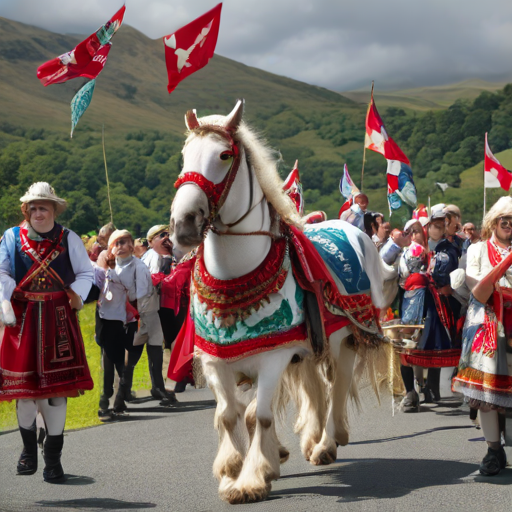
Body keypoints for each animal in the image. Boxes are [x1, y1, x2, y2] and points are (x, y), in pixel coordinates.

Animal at [170, 100, 386, 504]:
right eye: (184, 155)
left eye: (224, 155)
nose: (183, 224)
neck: (235, 277)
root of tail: (353, 229)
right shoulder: (214, 360)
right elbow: (230, 413)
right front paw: (233, 470)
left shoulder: (274, 356)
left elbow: (260, 414)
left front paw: (253, 477)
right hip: (311, 350)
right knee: (314, 389)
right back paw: (308, 441)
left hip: (344, 340)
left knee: (336, 386)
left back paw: (327, 442)